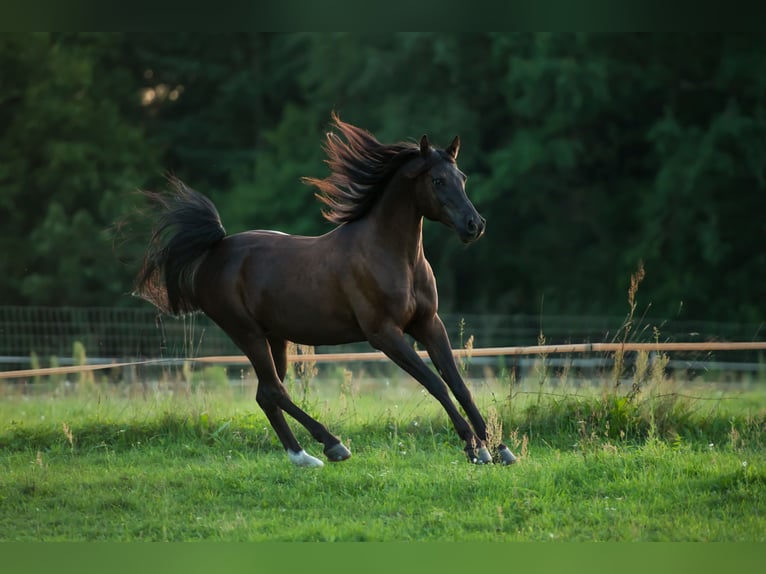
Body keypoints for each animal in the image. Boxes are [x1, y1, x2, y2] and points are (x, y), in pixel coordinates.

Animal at [135, 113, 520, 468]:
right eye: (438, 180)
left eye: (462, 178)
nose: (474, 225)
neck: (392, 256)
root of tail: (215, 251)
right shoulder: (385, 334)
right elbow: (435, 384)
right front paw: (475, 448)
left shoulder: (429, 324)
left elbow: (459, 384)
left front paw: (498, 448)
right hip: (247, 334)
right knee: (274, 390)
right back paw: (333, 445)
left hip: (276, 338)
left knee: (266, 394)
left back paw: (303, 456)